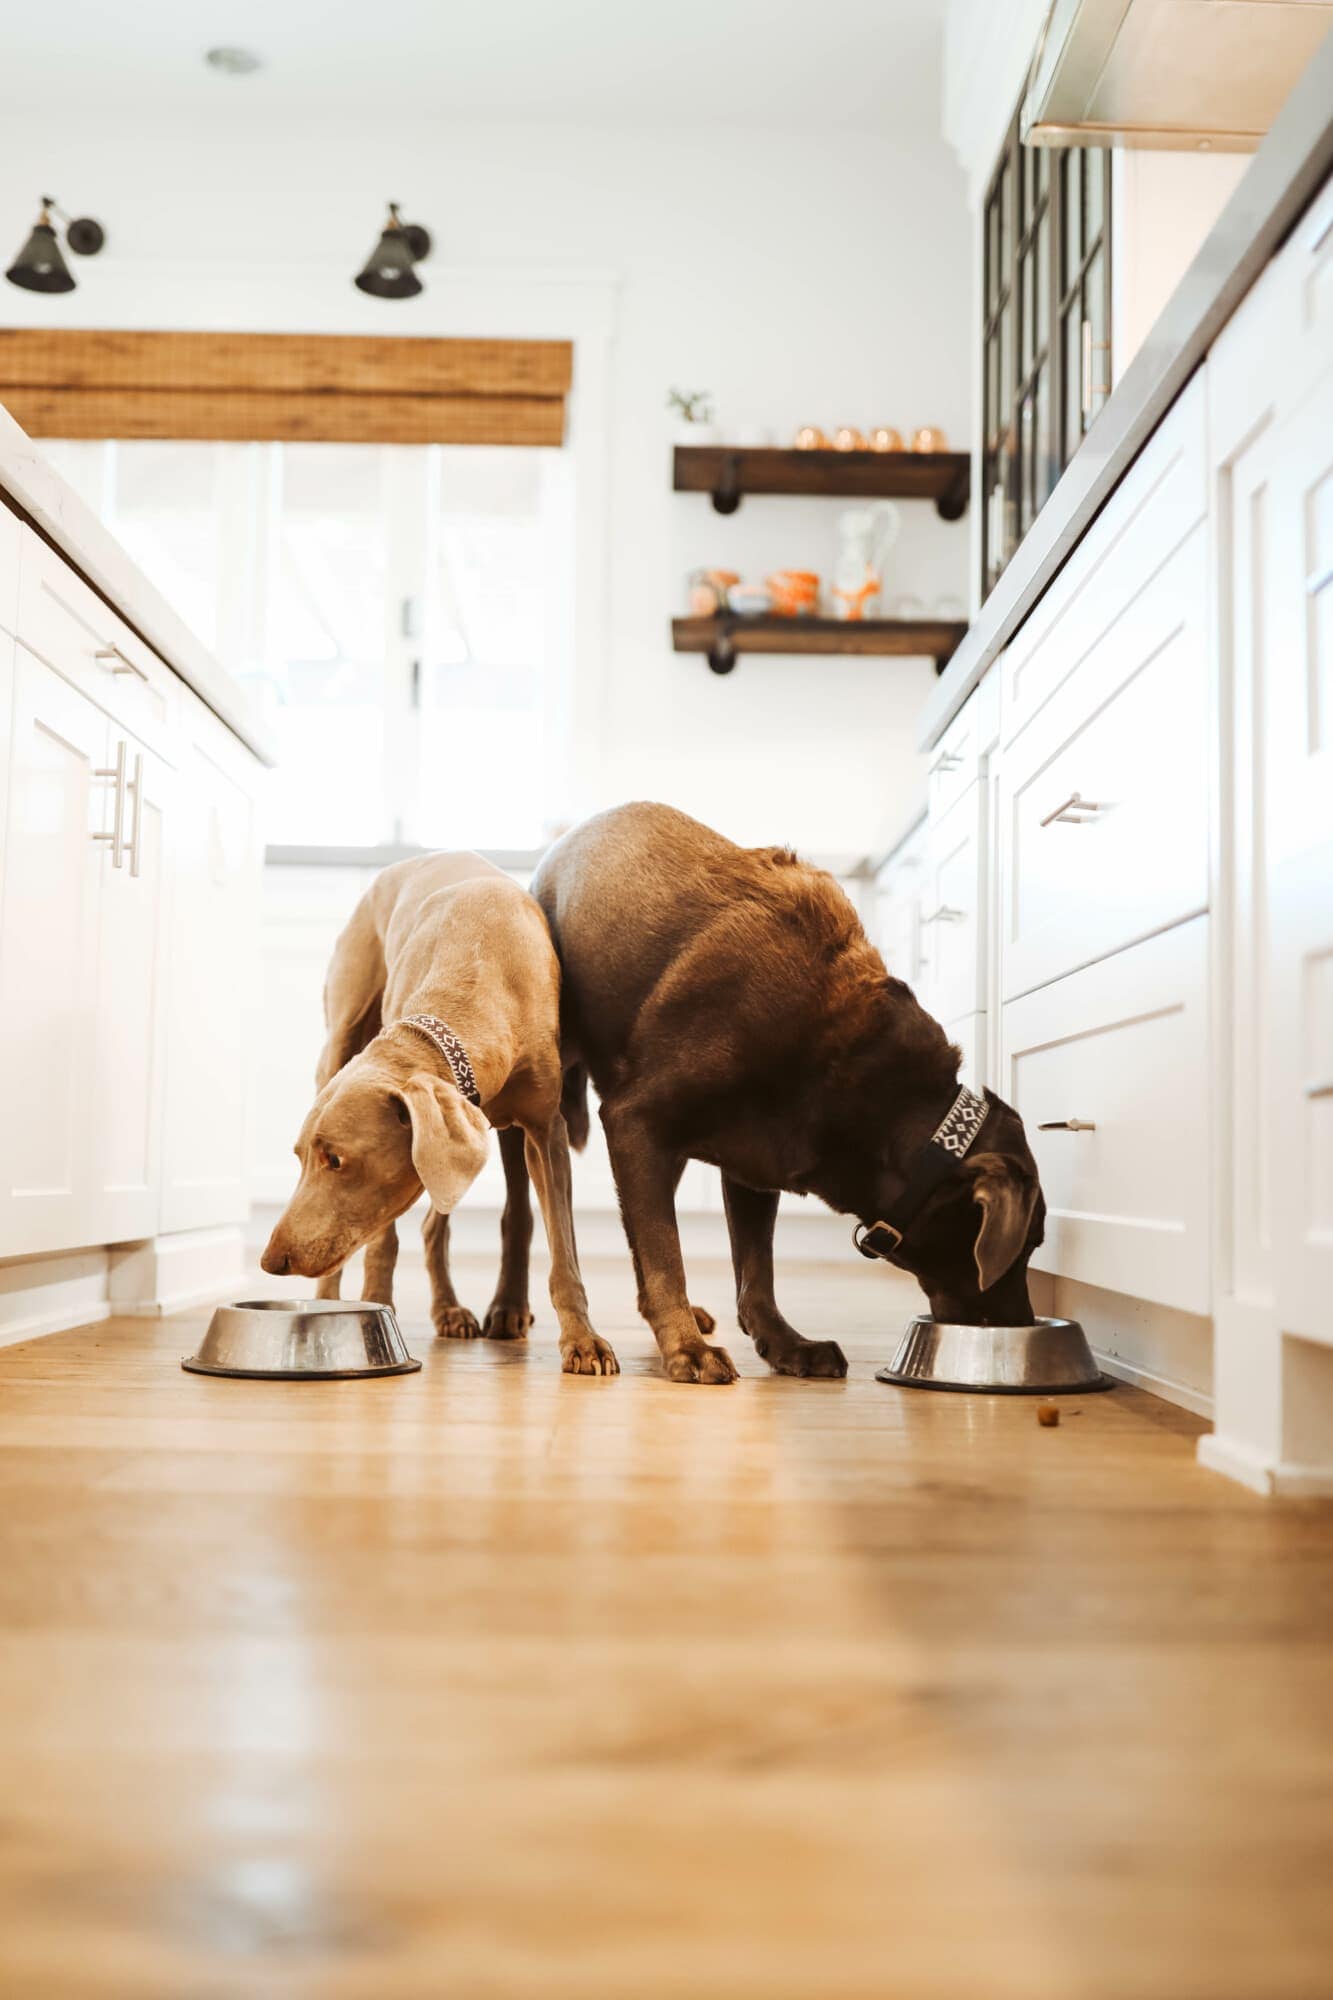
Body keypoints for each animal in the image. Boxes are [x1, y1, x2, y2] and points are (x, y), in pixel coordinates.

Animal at [260, 844, 616, 1376]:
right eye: (300, 1158)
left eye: (336, 1160)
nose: (270, 1261)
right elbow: (382, 1245)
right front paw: (376, 1312)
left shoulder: (544, 1129)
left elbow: (564, 1253)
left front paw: (583, 1341)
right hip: (343, 1032)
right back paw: (334, 1302)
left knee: (441, 1224)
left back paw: (453, 1309)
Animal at [528, 804, 1040, 1384]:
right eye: (1029, 1244)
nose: (1023, 1324)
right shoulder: (634, 1121)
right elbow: (665, 1255)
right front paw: (688, 1349)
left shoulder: (753, 1162)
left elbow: (755, 1271)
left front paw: (787, 1344)